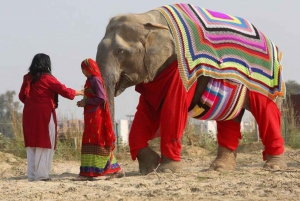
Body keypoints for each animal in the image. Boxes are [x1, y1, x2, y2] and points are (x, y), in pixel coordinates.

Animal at [96, 3, 288, 174]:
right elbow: (146, 109)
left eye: (120, 51)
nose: (116, 173)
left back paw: (273, 167)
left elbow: (173, 106)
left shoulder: (180, 68)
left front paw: (168, 170)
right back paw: (219, 169)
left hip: (268, 80)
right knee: (230, 118)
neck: (146, 17)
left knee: (266, 112)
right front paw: (150, 168)